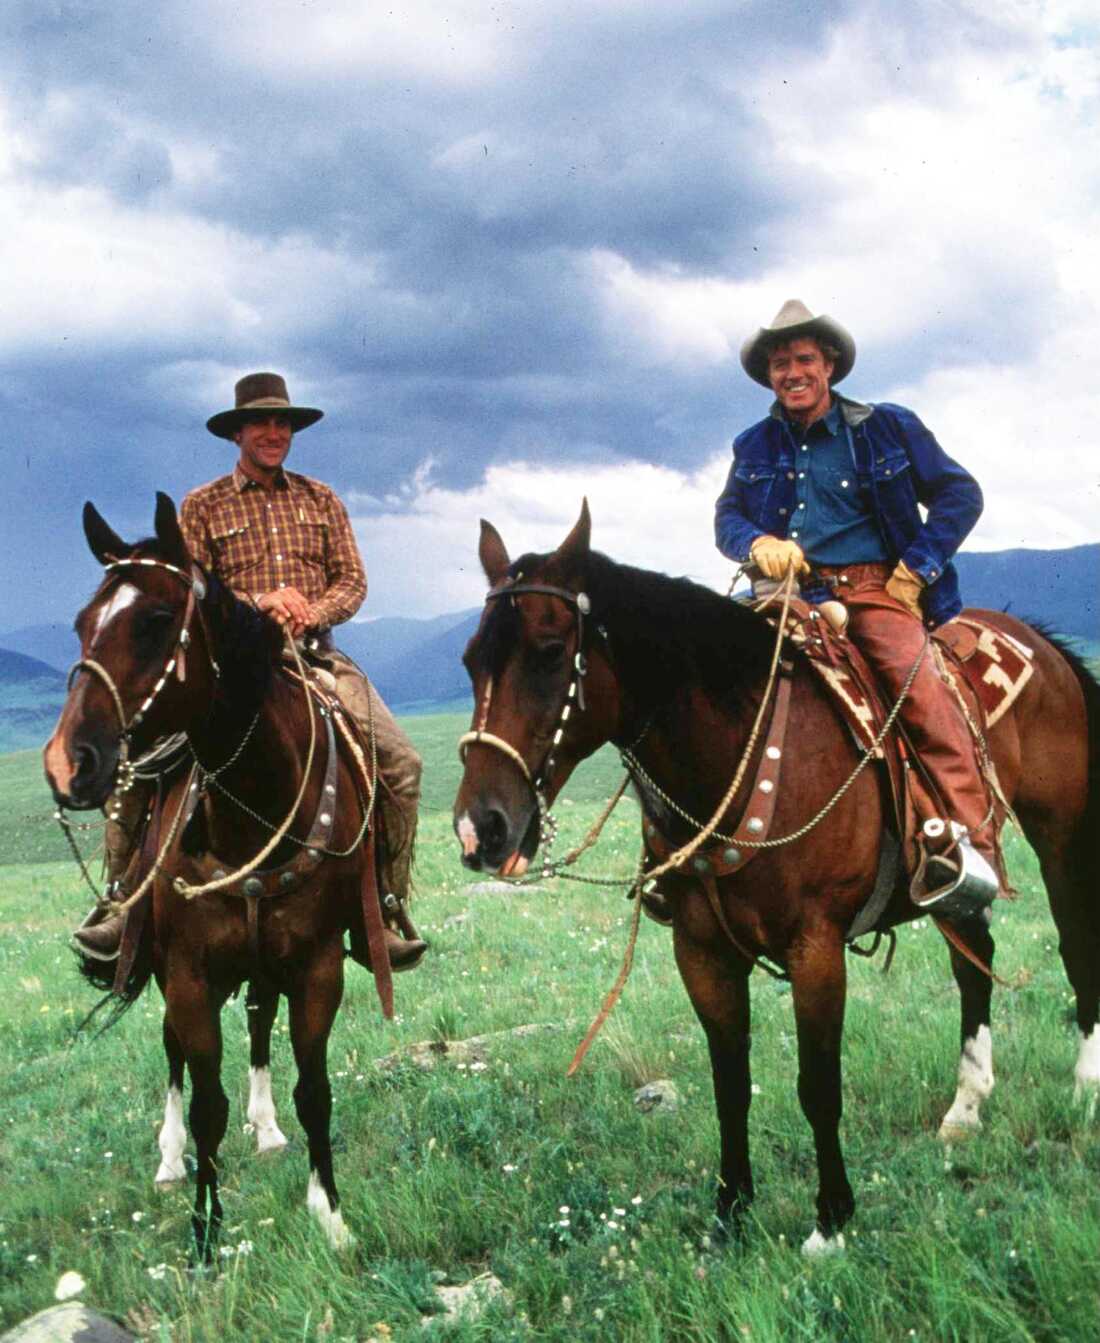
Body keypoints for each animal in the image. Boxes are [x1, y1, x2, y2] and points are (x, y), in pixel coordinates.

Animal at [42, 496, 386, 1257]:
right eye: (82, 623)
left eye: (152, 621)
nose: (65, 764)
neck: (254, 806)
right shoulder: (190, 974)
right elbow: (204, 1101)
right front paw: (204, 1232)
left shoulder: (318, 965)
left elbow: (314, 1088)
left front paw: (332, 1215)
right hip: (163, 962)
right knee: (173, 1053)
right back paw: (171, 1160)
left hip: (264, 960)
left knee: (258, 1022)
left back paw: (267, 1128)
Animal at [451, 502, 1095, 1246]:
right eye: (470, 660)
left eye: (551, 651)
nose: (481, 827)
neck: (738, 749)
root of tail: (1040, 643)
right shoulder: (701, 951)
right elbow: (730, 1081)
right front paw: (730, 1209)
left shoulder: (815, 947)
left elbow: (818, 1085)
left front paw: (831, 1220)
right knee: (973, 962)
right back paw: (965, 1107)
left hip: (1061, 837)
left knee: (1073, 944)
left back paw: (1085, 1086)